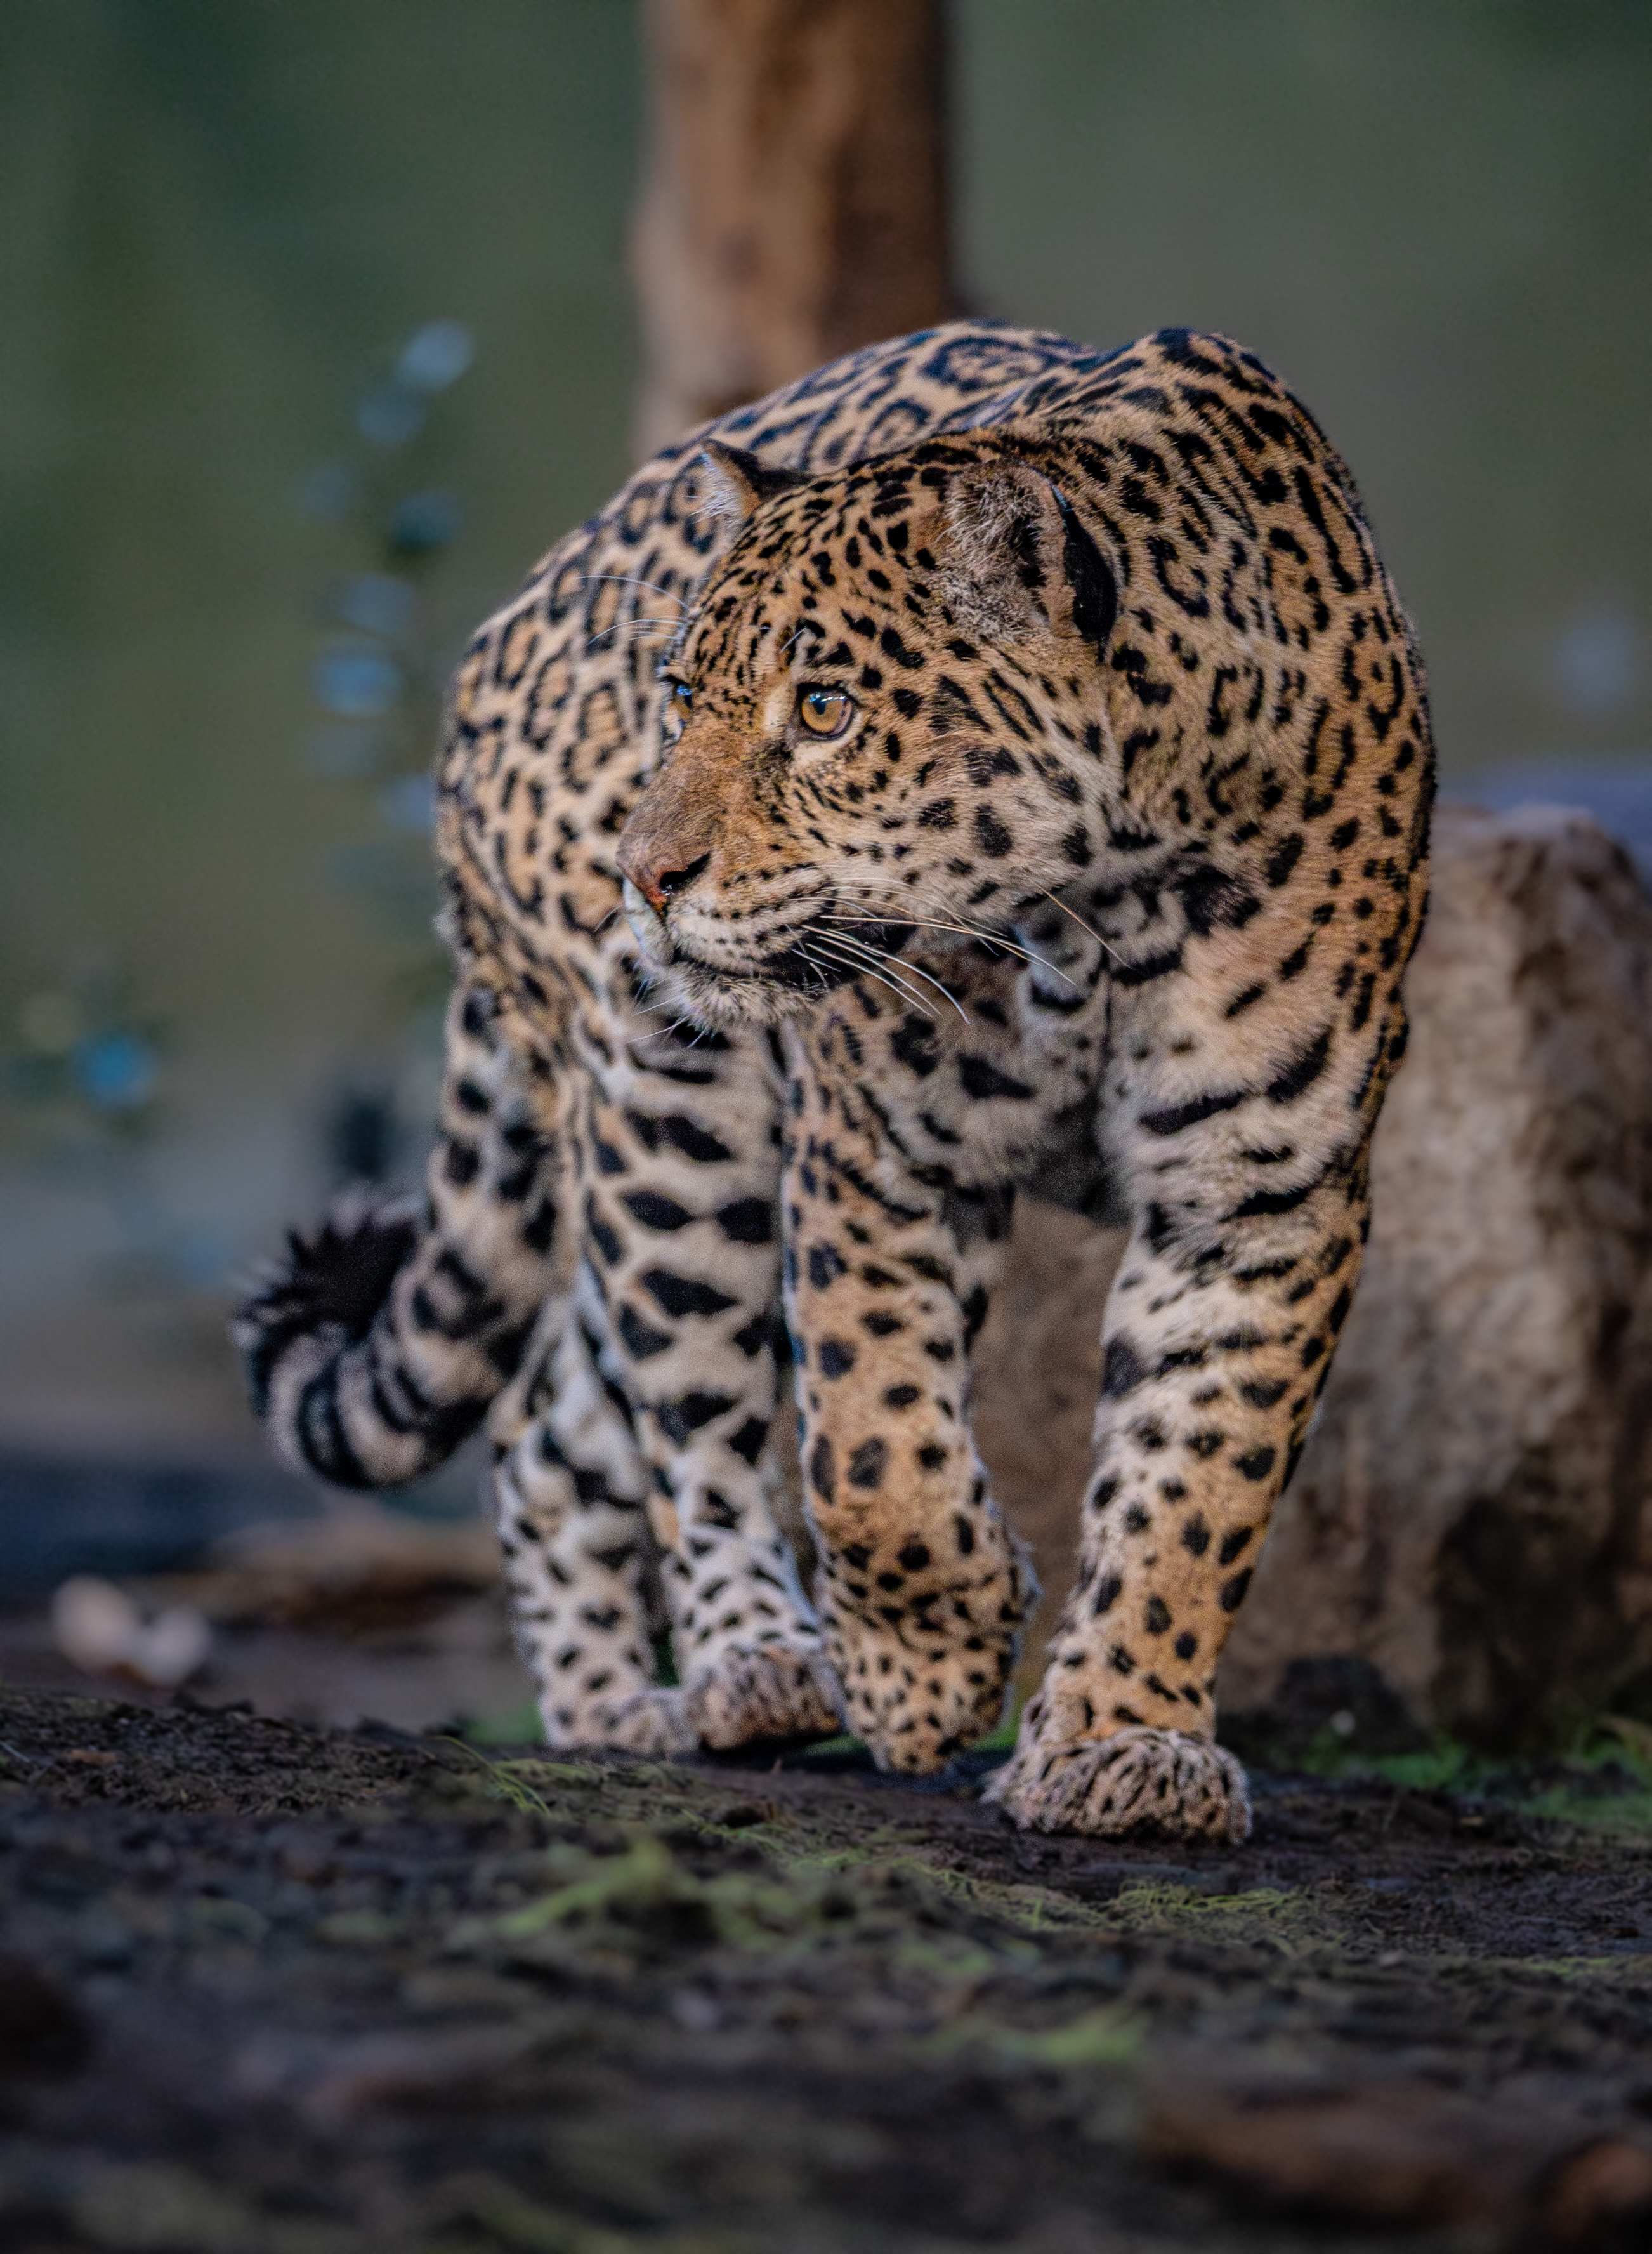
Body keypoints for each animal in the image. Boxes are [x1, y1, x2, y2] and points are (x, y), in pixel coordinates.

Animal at [236, 321, 1433, 1843]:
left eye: (822, 711)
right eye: (680, 699)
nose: (643, 874)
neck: (1106, 898)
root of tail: (510, 620)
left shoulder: (1258, 1195)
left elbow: (1196, 1481)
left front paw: (1124, 1742)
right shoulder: (872, 1147)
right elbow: (872, 1449)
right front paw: (928, 1668)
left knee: (551, 1423)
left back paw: (617, 1708)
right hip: (667, 1110)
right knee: (678, 1412)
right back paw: (756, 1671)